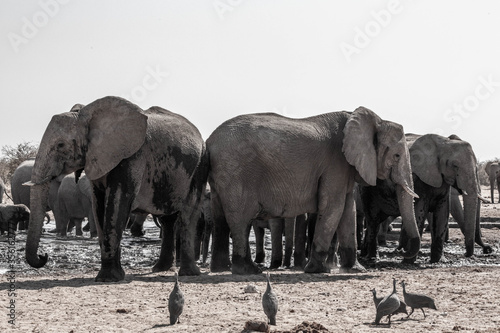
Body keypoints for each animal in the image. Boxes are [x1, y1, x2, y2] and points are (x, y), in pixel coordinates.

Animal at [24, 96, 208, 280]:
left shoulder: (132, 156)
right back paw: (160, 269)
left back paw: (188, 273)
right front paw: (115, 275)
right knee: (168, 219)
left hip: (199, 166)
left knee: (188, 215)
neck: (87, 115)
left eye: (61, 145)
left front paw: (107, 278)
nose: (43, 256)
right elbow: (99, 206)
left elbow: (118, 203)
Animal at [205, 107, 420, 274]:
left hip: (221, 176)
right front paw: (318, 270)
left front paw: (355, 269)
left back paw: (221, 268)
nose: (403, 254)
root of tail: (209, 142)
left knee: (220, 219)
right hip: (237, 172)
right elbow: (334, 207)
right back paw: (248, 270)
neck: (375, 121)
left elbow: (347, 210)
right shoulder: (335, 163)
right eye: (397, 155)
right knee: (241, 219)